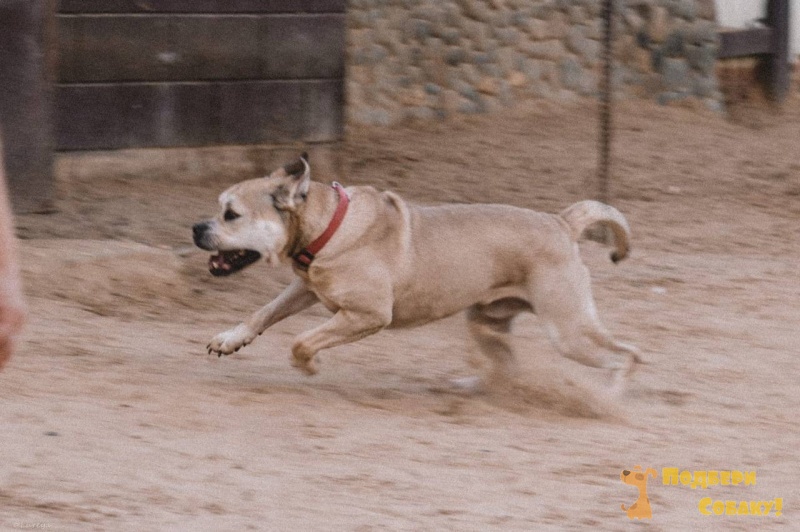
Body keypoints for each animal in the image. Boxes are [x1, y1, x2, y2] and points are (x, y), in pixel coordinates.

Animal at [192, 153, 640, 389]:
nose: (196, 228)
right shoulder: (307, 288)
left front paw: (309, 366)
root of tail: (562, 222)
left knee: (627, 356)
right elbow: (263, 312)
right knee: (505, 370)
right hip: (487, 323)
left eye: (231, 214)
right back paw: (472, 389)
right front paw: (229, 340)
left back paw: (608, 399)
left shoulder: (367, 314)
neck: (329, 224)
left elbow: (301, 341)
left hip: (568, 330)